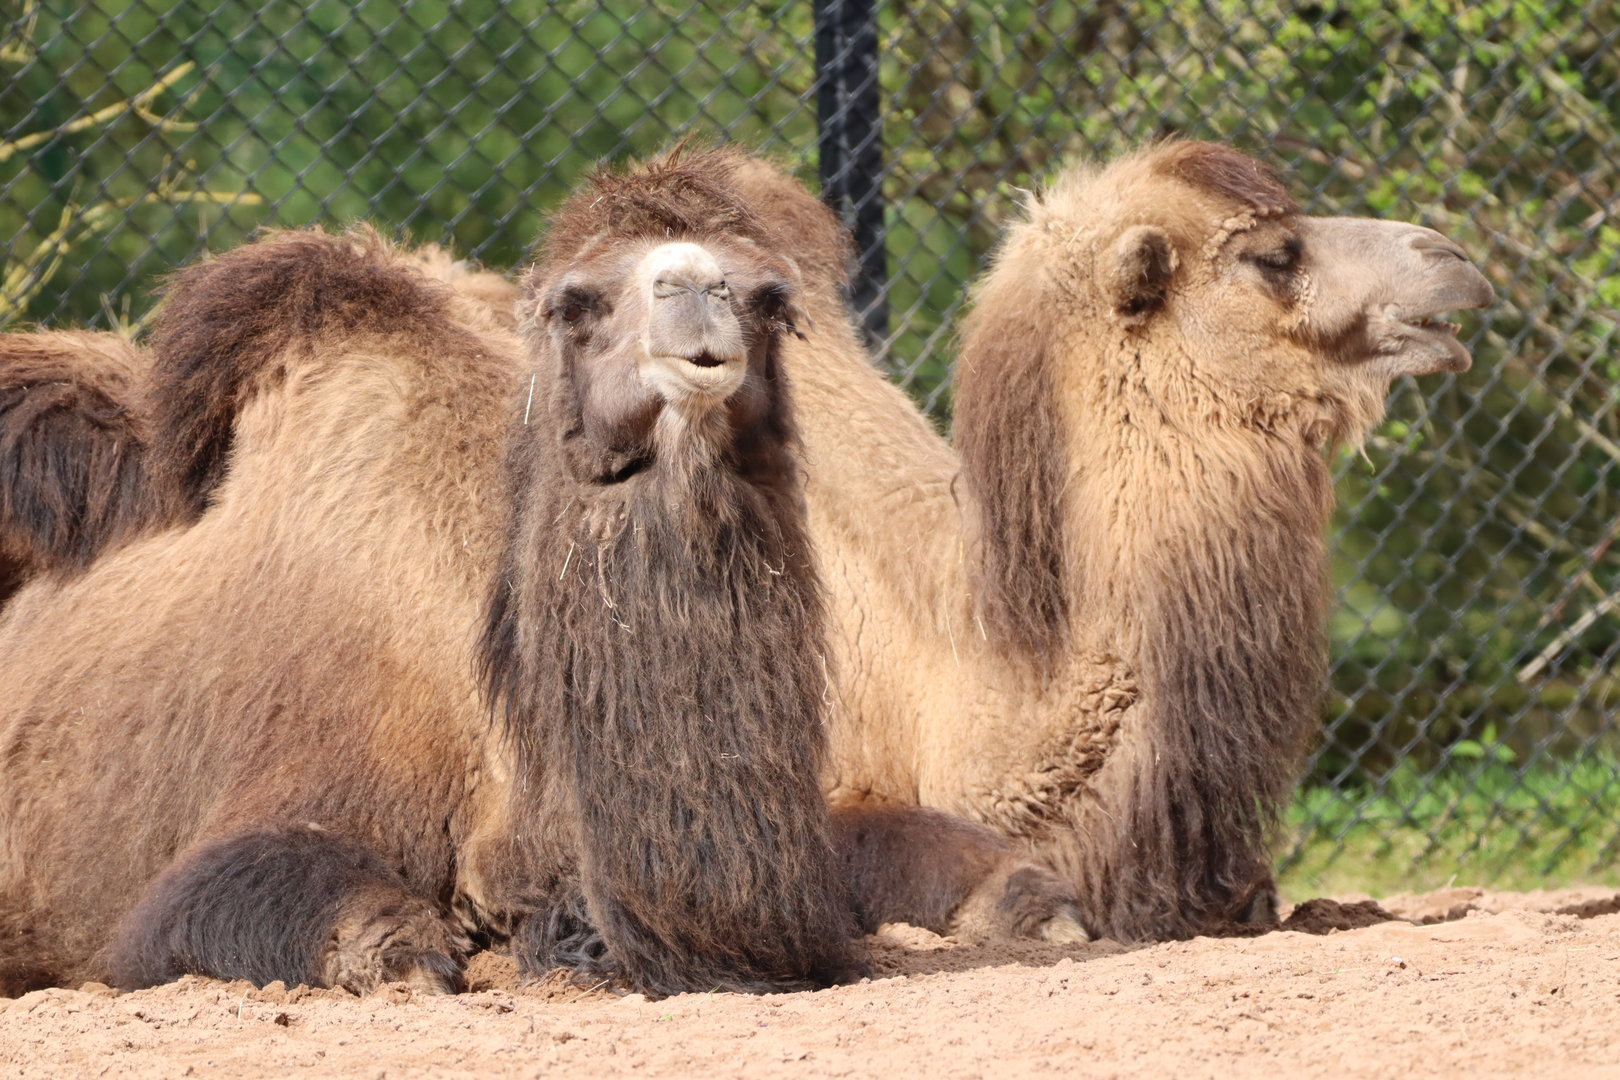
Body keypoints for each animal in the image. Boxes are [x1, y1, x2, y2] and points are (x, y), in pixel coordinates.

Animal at [0, 151, 1082, 999]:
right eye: (581, 302)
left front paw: (1036, 901)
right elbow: (248, 898)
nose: (698, 297)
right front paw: (399, 953)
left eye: (777, 300)